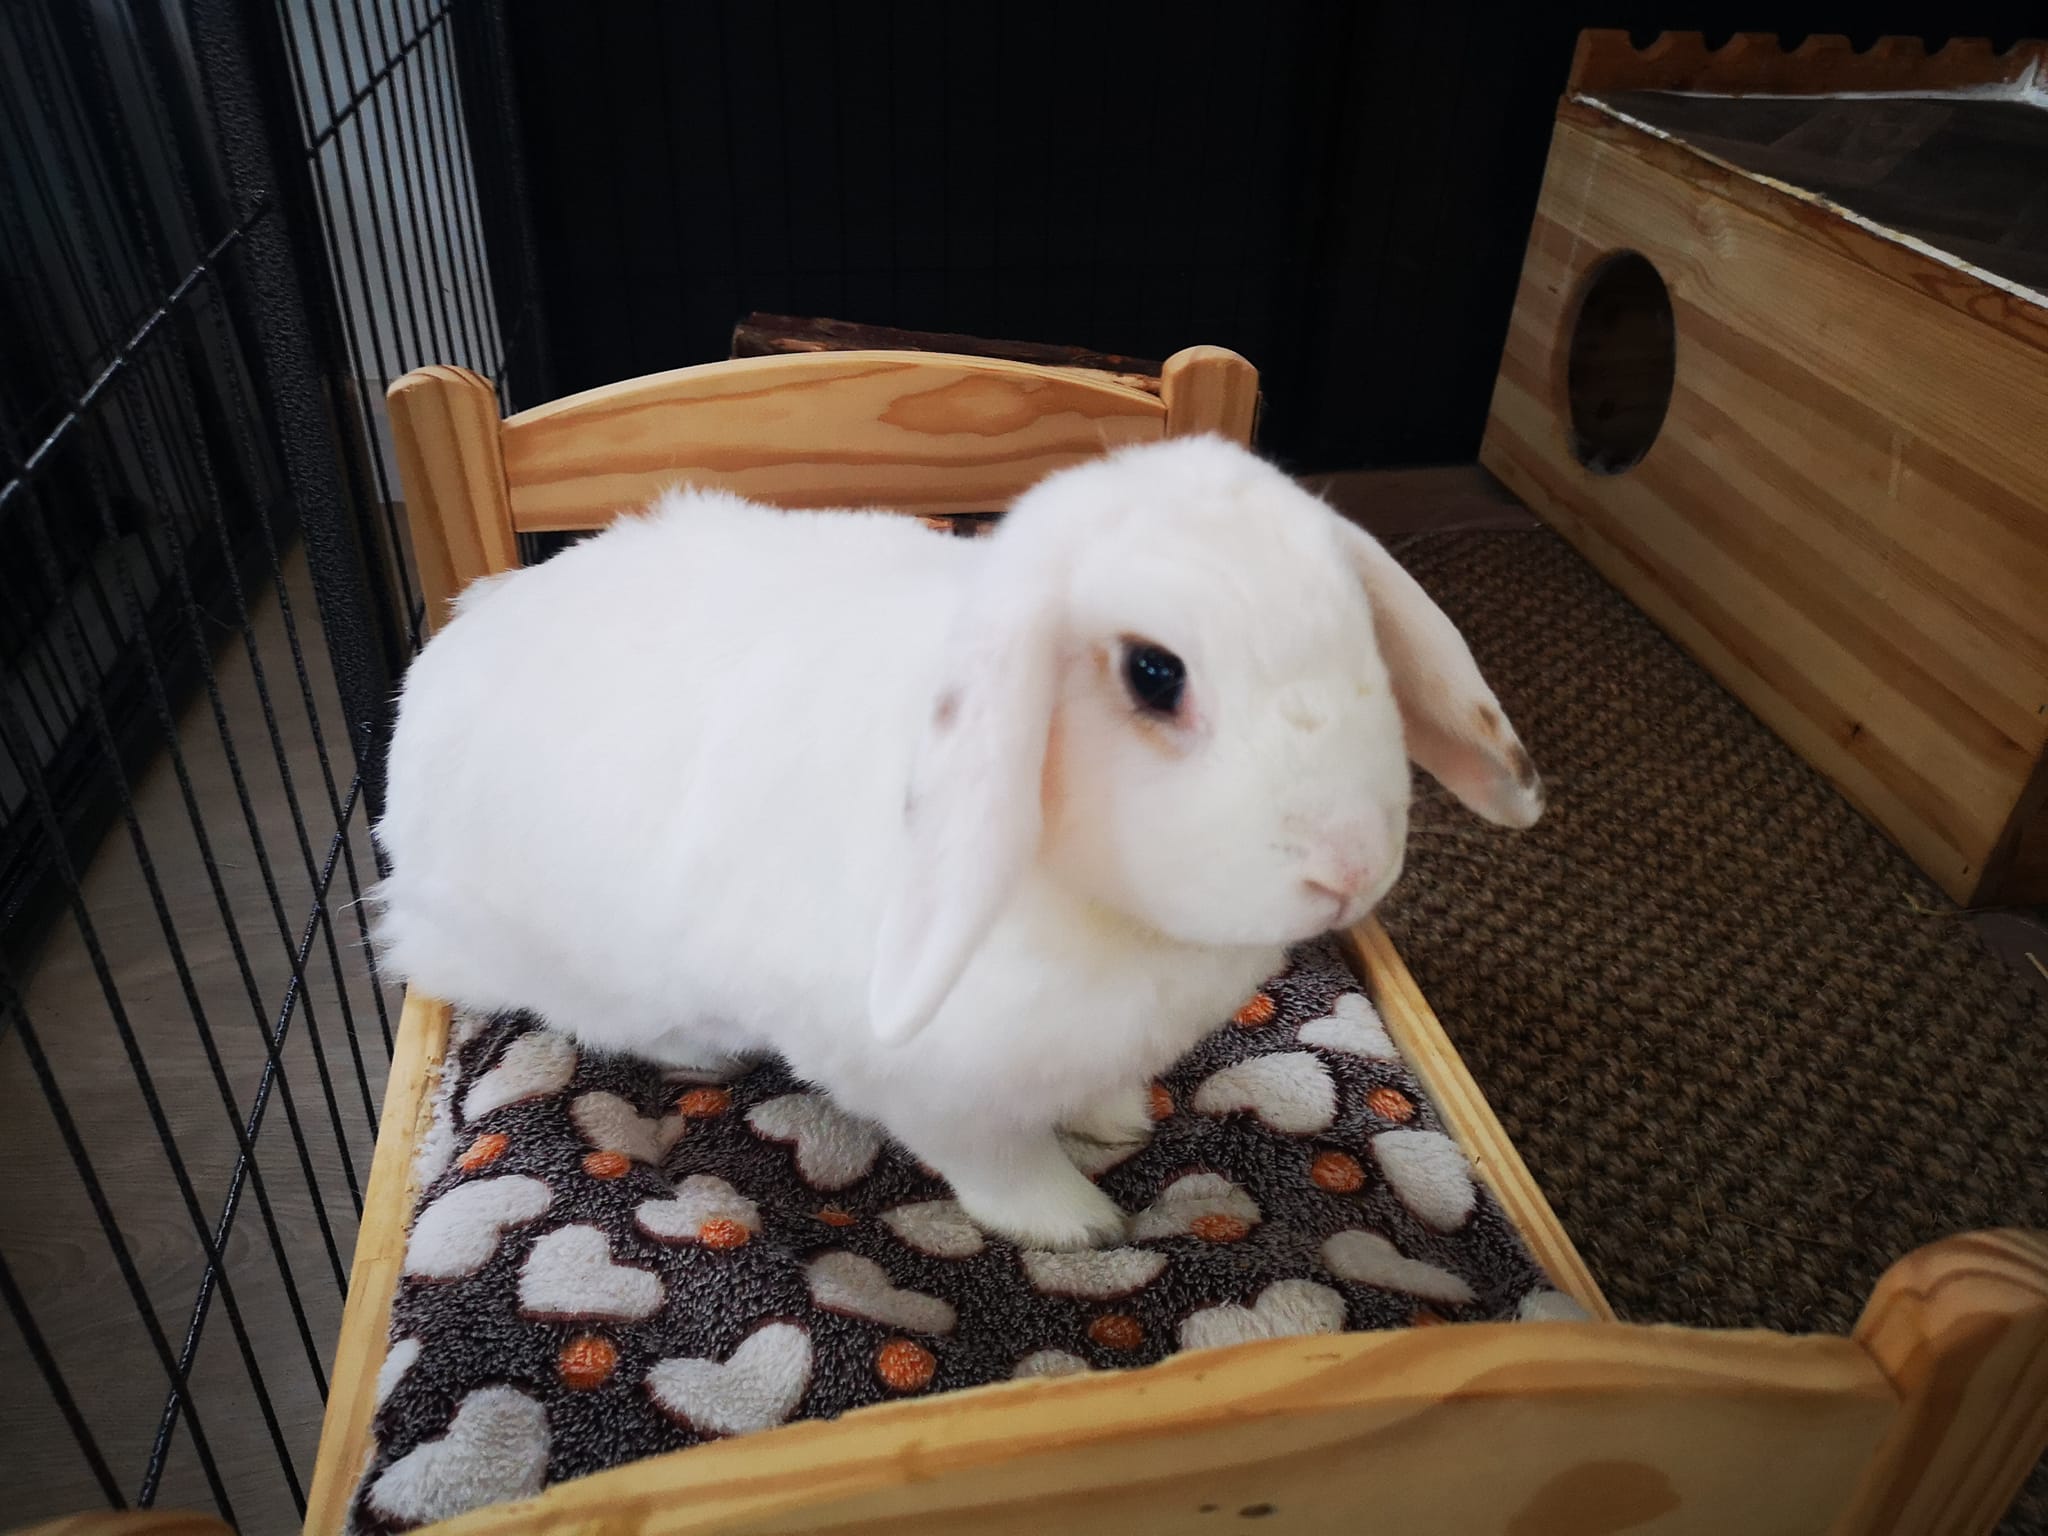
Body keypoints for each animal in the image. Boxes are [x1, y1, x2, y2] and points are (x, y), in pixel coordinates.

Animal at [372, 434, 1542, 1250]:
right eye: (1153, 673)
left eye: (1363, 639)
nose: (1350, 869)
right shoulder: (934, 1094)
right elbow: (1002, 1167)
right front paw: (1079, 1223)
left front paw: (1119, 1124)